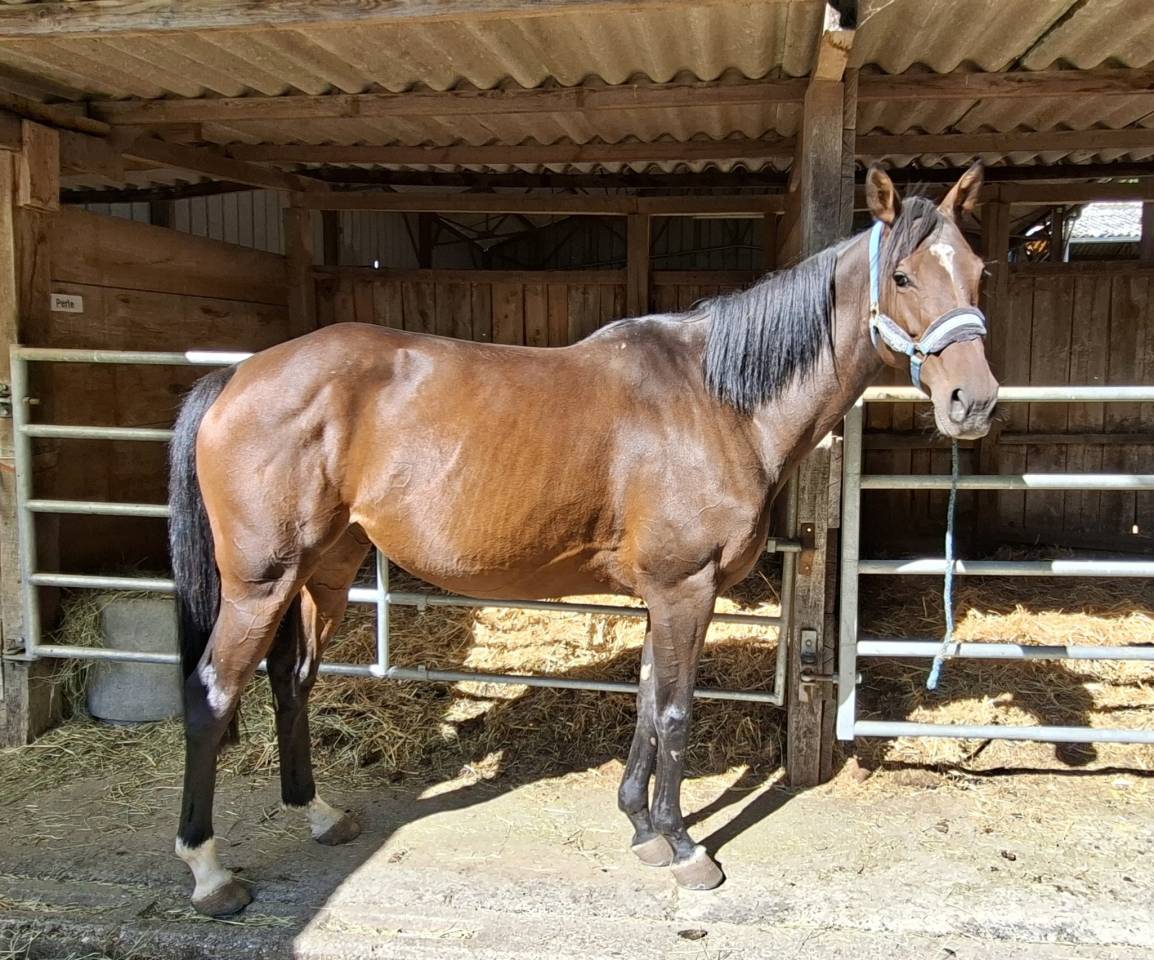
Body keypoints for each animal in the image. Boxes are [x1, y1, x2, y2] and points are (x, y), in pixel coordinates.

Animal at [168, 164, 998, 915]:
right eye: (902, 276)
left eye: (979, 272)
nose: (975, 401)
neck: (716, 401)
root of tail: (239, 375)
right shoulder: (686, 588)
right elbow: (675, 712)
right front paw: (684, 848)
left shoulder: (664, 595)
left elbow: (647, 702)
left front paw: (640, 828)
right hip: (260, 584)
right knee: (212, 694)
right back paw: (209, 873)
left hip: (325, 572)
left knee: (292, 680)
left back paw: (318, 814)